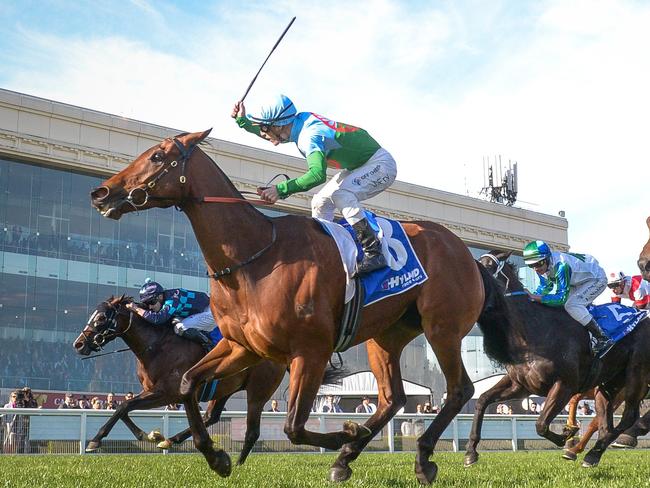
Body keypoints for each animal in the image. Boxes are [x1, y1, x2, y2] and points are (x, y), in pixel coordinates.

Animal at [73, 296, 284, 464]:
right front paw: (149, 435)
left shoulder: (168, 393)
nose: (79, 344)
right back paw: (170, 440)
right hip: (225, 389)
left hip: (258, 391)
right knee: (211, 417)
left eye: (101, 317)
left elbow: (123, 406)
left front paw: (95, 441)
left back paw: (238, 464)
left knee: (252, 431)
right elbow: (124, 407)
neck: (156, 346)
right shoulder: (151, 390)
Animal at [464, 252, 648, 468]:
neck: (532, 330)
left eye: (487, 266)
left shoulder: (564, 385)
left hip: (636, 375)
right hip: (609, 384)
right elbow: (482, 400)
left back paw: (606, 445)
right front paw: (470, 452)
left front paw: (567, 434)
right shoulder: (521, 385)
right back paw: (592, 454)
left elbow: (541, 424)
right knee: (604, 421)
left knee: (628, 416)